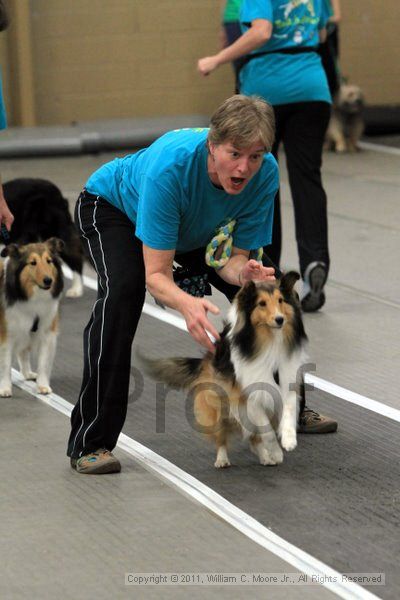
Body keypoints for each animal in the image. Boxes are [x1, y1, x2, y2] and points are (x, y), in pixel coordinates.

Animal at [0, 237, 63, 396]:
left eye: (49, 261)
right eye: (32, 263)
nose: (48, 280)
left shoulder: (46, 332)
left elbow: (43, 362)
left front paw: (43, 386)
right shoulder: (7, 333)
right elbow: (5, 363)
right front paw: (4, 388)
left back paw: (28, 373)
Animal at [139, 272, 308, 468]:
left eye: (280, 300)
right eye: (262, 303)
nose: (280, 319)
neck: (269, 341)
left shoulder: (286, 381)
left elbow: (287, 412)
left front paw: (288, 441)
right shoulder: (246, 396)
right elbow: (266, 429)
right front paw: (276, 451)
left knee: (253, 438)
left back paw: (265, 457)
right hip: (218, 405)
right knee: (223, 437)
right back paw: (223, 459)